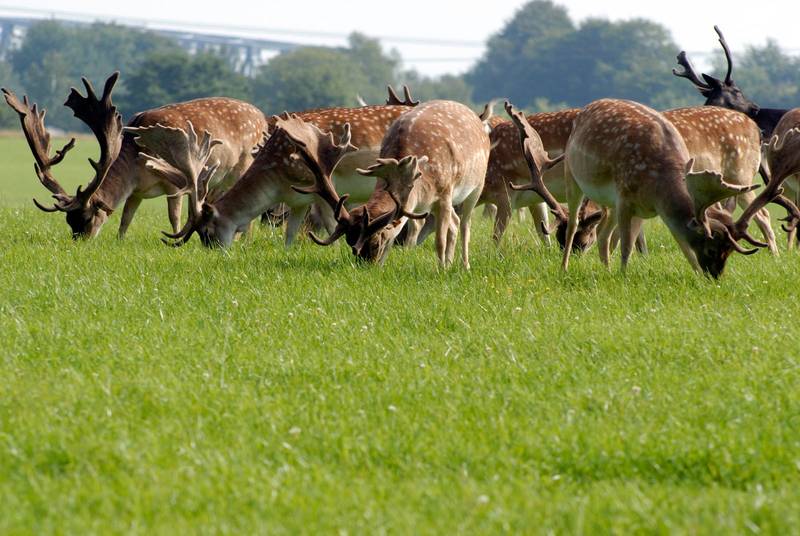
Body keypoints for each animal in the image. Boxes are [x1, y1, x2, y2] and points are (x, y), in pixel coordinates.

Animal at [2, 73, 268, 239]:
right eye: (69, 221)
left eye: (87, 218)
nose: (80, 242)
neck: (135, 163)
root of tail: (264, 118)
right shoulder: (136, 191)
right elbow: (125, 219)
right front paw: (119, 242)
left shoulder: (174, 183)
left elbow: (174, 217)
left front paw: (175, 241)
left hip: (244, 165)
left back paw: (244, 241)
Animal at [287, 100, 491, 268]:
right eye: (349, 242)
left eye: (376, 242)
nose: (366, 267)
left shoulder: (445, 193)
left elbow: (439, 241)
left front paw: (440, 270)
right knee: (455, 223)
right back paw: (451, 263)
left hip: (477, 186)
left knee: (465, 225)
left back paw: (464, 266)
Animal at [560, 99, 779, 278]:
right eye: (711, 249)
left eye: (730, 251)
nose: (715, 276)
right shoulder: (624, 198)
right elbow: (627, 245)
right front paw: (623, 275)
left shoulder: (648, 208)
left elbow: (681, 244)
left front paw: (696, 276)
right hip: (572, 175)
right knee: (575, 223)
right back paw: (565, 267)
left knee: (603, 234)